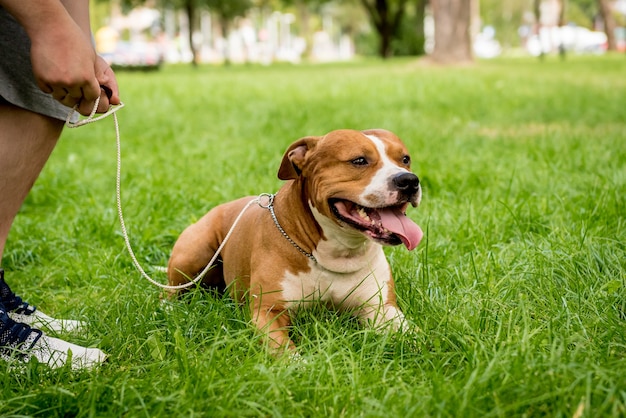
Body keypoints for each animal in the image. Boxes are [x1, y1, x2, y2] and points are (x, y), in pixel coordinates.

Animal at [166, 129, 422, 352]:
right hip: (193, 254)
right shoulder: (268, 312)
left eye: (405, 159)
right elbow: (284, 351)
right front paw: (299, 365)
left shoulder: (381, 309)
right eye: (359, 160)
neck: (336, 252)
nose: (409, 180)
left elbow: (416, 336)